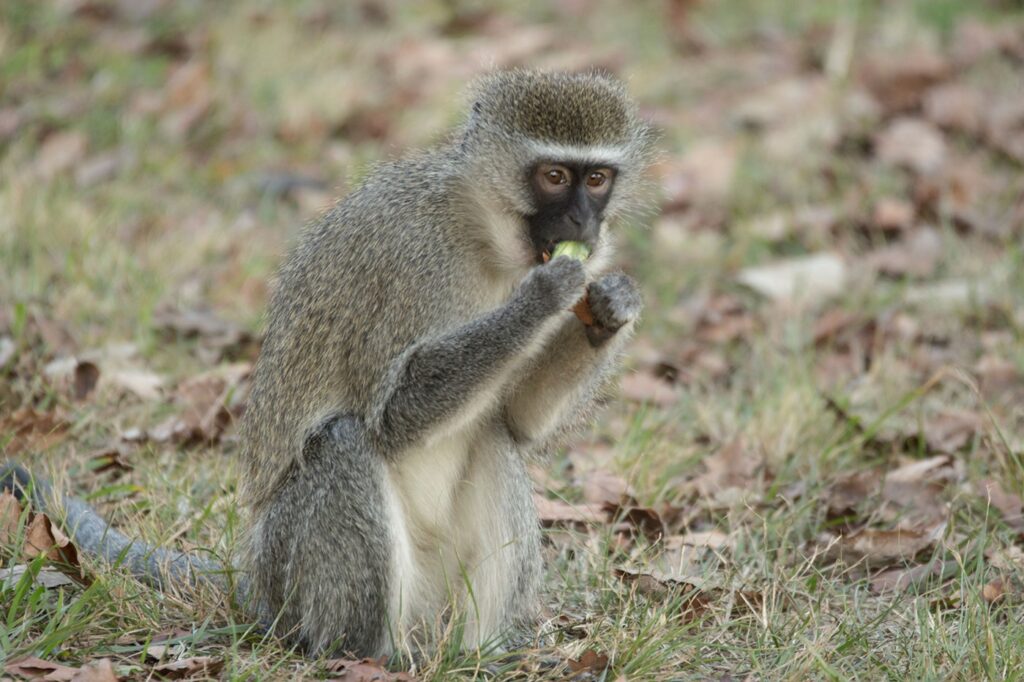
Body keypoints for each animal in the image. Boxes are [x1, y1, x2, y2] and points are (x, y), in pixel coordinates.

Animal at [1, 69, 656, 659]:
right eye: (554, 177)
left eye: (597, 179)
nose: (584, 224)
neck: (488, 240)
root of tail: (257, 584)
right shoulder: (410, 257)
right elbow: (394, 414)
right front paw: (542, 297)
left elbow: (519, 423)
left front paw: (610, 307)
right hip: (292, 576)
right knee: (345, 444)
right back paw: (370, 655)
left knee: (493, 438)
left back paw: (481, 653)